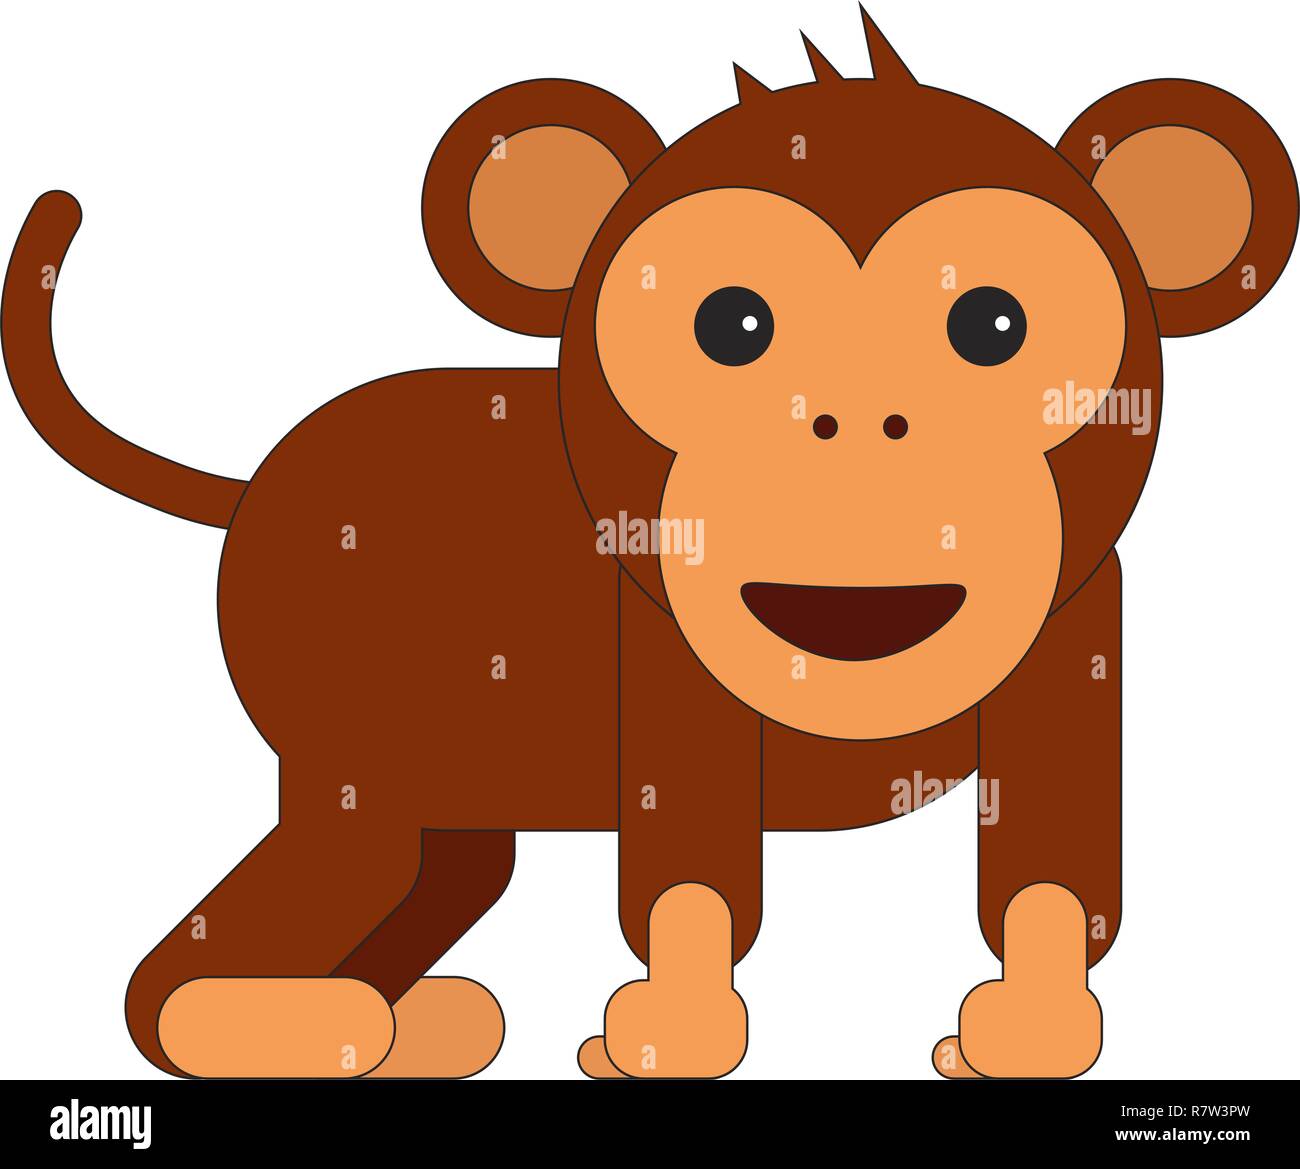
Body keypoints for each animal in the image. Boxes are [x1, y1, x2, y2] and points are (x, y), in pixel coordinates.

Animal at [3, 8, 1296, 1080]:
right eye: (731, 323)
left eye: (992, 323)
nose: (854, 418)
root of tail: (250, 484)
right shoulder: (666, 673)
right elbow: (690, 878)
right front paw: (670, 1040)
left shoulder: (1081, 632)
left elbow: (1048, 870)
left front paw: (1025, 1036)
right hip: (352, 770)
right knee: (171, 977)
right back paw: (327, 1025)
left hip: (442, 803)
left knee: (435, 882)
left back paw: (420, 1026)